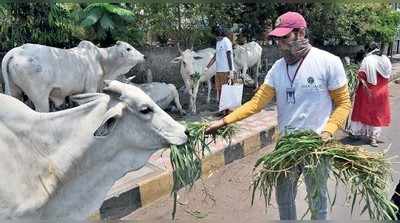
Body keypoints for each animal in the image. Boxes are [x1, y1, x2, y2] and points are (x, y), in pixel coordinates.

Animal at [1, 40, 145, 111]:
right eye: (128, 49)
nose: (144, 56)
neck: (102, 59)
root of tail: (17, 50)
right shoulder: (91, 87)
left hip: (13, 92)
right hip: (39, 97)